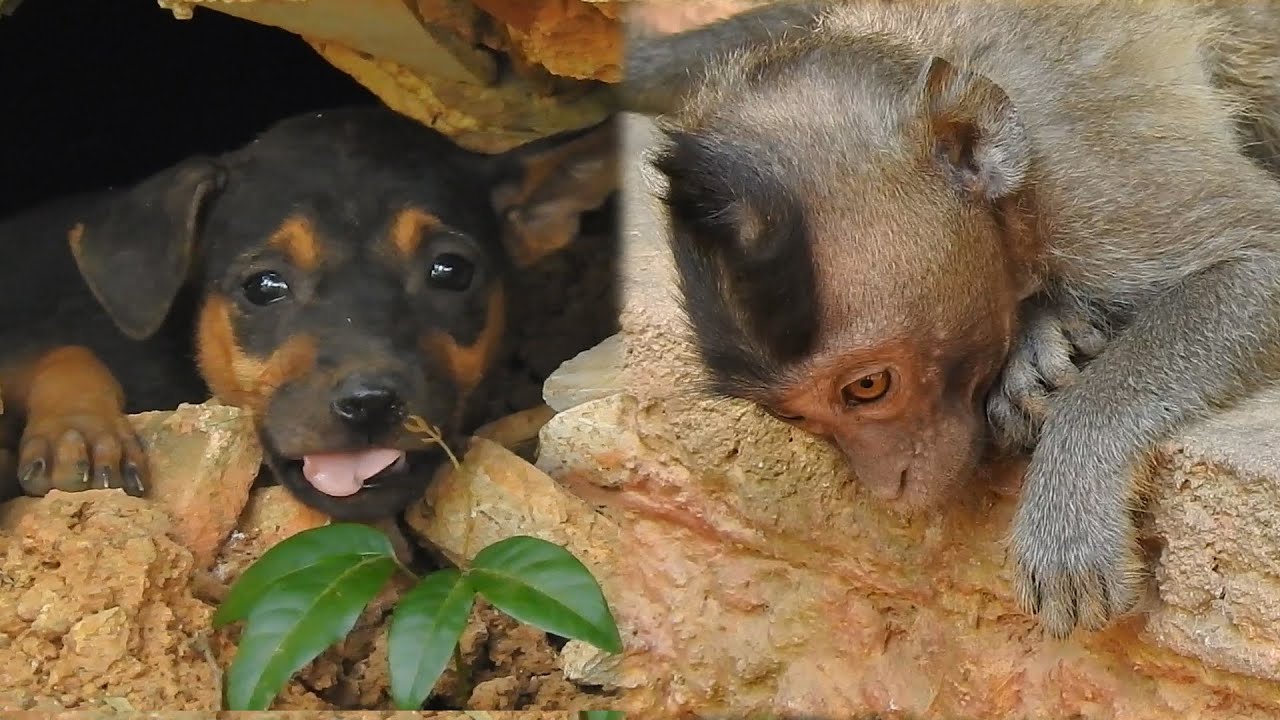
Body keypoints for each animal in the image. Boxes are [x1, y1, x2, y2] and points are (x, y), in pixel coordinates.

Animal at [620, 0, 1280, 637]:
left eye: (868, 387)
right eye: (796, 418)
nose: (889, 486)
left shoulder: (1096, 186)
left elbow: (1259, 258)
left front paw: (1069, 496)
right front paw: (1036, 337)